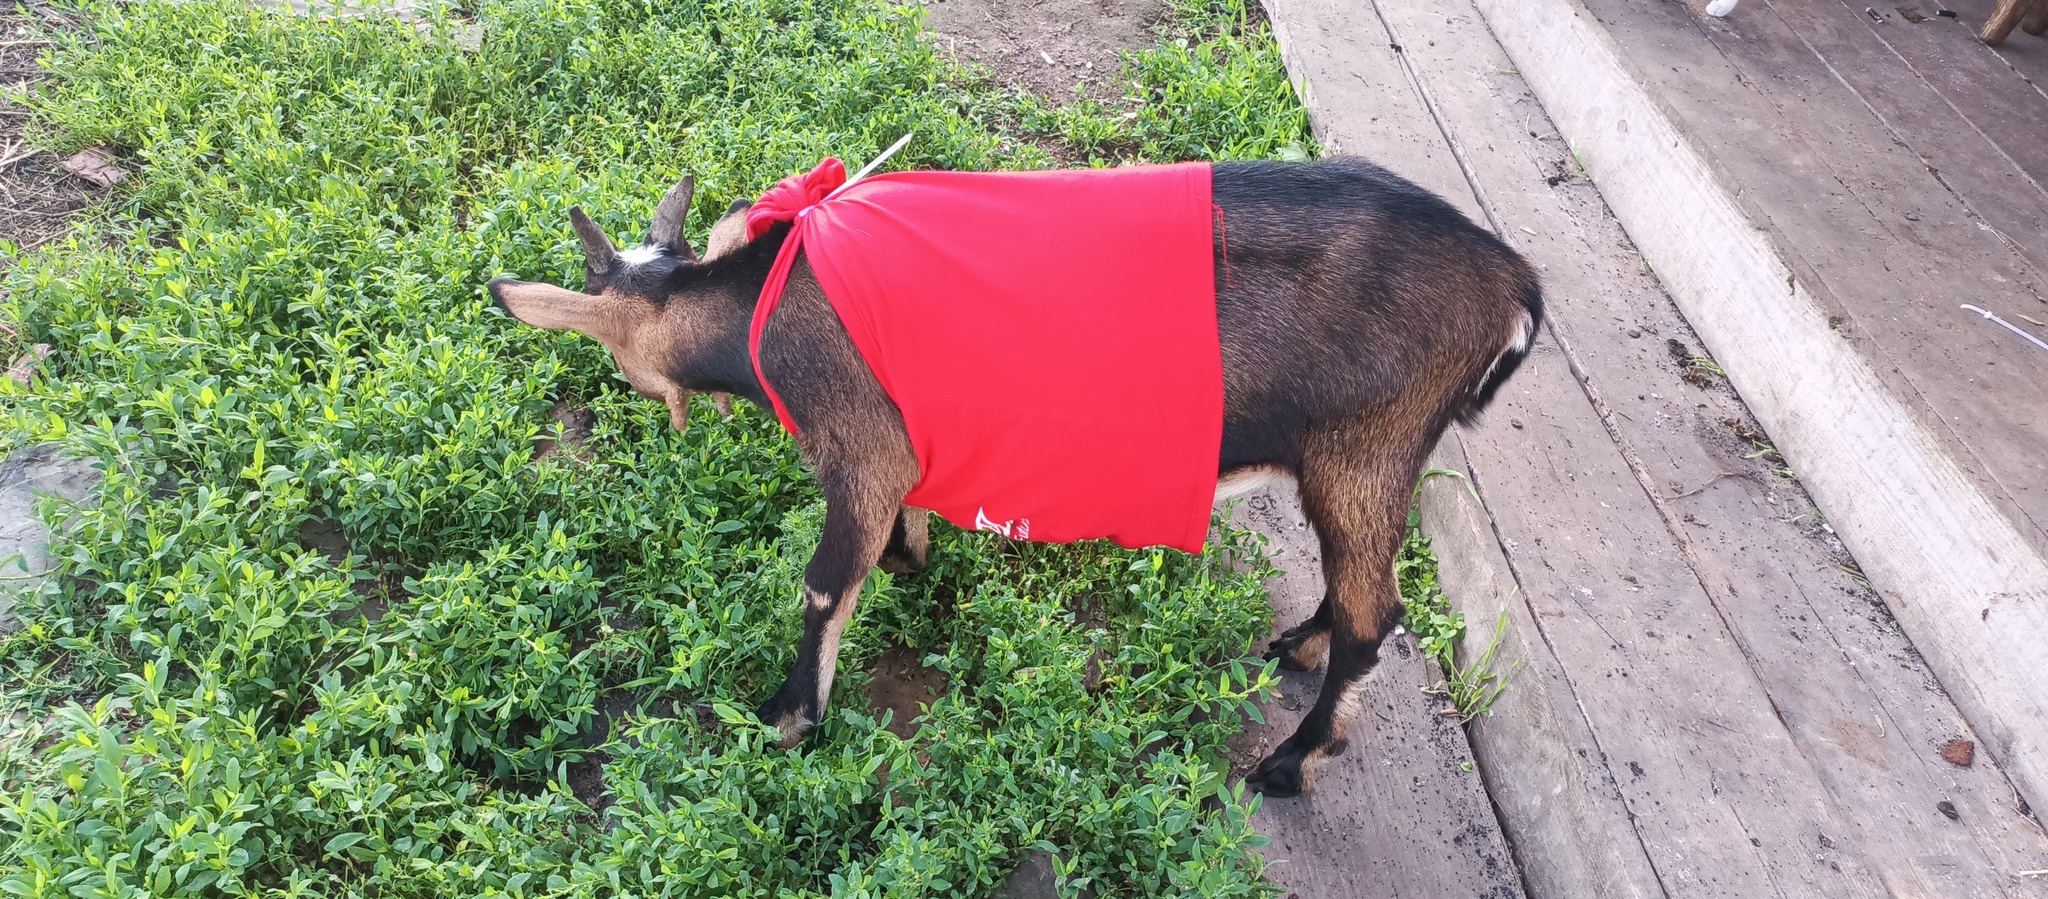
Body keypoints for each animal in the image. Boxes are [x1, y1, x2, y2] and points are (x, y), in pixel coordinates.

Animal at [487, 157, 1542, 797]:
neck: (770, 301)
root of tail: (1513, 286)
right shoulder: (908, 450)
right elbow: (898, 543)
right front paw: (912, 559)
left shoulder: (858, 444)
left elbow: (827, 583)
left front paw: (787, 715)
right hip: (1363, 464)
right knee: (1362, 592)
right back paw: (1301, 643)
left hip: (1367, 448)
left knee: (1376, 613)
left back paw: (1288, 762)